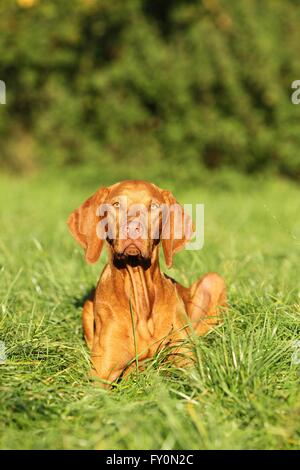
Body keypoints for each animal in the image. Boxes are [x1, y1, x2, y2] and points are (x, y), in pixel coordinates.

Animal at [68, 180, 226, 386]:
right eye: (116, 204)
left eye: (154, 206)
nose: (133, 229)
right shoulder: (100, 374)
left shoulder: (186, 362)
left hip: (214, 280)